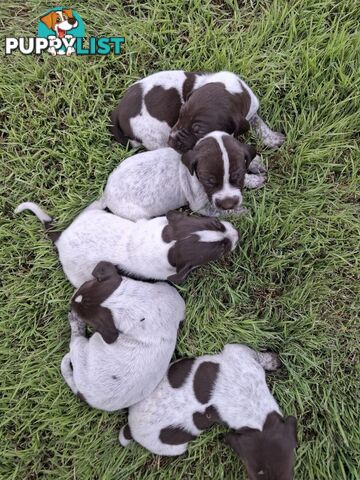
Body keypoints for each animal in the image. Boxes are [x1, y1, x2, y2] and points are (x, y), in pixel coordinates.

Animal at [14, 201, 239, 286]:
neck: (166, 243)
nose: (237, 235)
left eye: (217, 224)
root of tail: (61, 238)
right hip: (80, 277)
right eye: (221, 249)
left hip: (90, 213)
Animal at [61, 260, 186, 410]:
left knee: (75, 340)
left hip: (81, 349)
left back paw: (74, 323)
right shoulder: (172, 295)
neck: (126, 303)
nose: (70, 301)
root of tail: (84, 395)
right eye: (85, 284)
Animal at [102, 132, 266, 220]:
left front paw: (253, 178)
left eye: (238, 176)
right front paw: (240, 212)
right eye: (209, 181)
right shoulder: (200, 206)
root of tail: (106, 193)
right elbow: (219, 212)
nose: (228, 204)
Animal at [111, 69, 286, 151]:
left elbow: (258, 122)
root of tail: (118, 110)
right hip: (154, 137)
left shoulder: (250, 110)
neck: (231, 89)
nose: (171, 141)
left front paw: (271, 138)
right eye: (179, 116)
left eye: (199, 130)